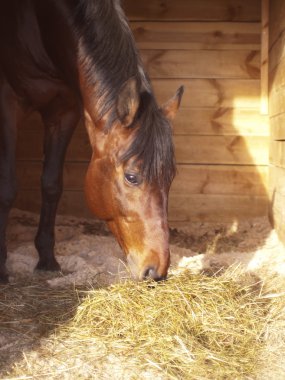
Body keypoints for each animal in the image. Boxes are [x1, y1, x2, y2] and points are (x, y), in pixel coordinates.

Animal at [0, 0, 182, 282]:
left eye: (170, 177)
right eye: (132, 177)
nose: (156, 271)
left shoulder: (65, 111)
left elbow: (52, 185)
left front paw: (47, 259)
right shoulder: (8, 102)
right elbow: (7, 189)